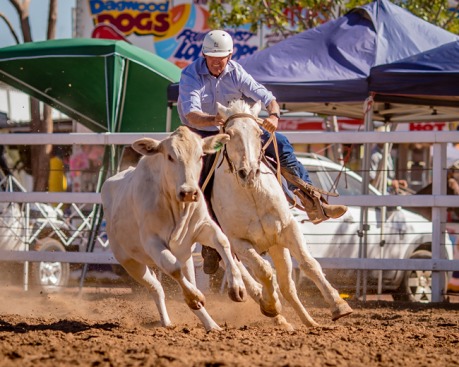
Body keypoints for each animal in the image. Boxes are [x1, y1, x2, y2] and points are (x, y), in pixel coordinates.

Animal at [102, 125, 248, 332]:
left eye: (200, 155)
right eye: (170, 156)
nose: (189, 192)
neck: (177, 207)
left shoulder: (202, 227)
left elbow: (222, 241)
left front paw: (237, 287)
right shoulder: (152, 242)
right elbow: (173, 267)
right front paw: (194, 296)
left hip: (185, 254)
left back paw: (211, 325)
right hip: (130, 262)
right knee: (156, 288)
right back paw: (169, 319)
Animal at [212, 100, 352, 328]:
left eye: (258, 132)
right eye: (229, 134)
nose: (248, 173)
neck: (252, 193)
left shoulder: (287, 229)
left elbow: (309, 264)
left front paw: (339, 305)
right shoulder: (238, 242)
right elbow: (264, 271)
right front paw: (270, 305)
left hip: (275, 244)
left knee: (288, 286)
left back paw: (307, 323)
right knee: (246, 275)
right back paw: (272, 308)